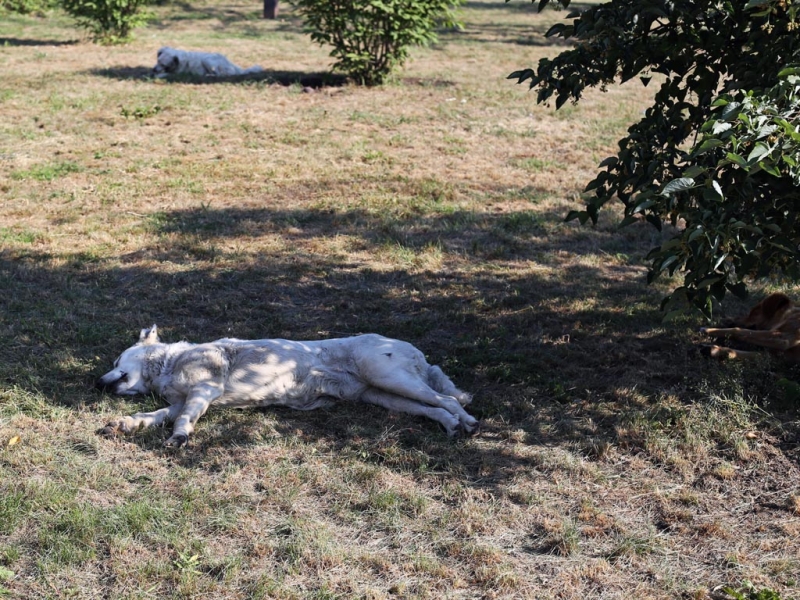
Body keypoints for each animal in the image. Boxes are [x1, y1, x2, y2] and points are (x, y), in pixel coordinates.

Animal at [97, 326, 478, 448]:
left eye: (115, 362)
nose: (97, 383)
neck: (169, 362)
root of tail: (417, 352)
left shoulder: (203, 391)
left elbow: (181, 419)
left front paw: (178, 438)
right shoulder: (183, 399)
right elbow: (156, 414)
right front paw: (128, 423)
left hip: (390, 377)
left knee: (447, 398)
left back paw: (469, 424)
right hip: (386, 395)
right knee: (434, 408)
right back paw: (452, 426)